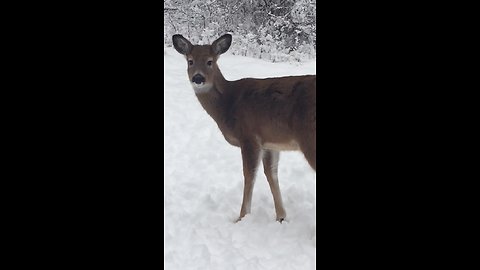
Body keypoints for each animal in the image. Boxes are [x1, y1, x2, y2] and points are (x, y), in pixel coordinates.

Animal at [172, 33, 316, 223]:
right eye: (190, 61)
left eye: (210, 61)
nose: (198, 78)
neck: (227, 103)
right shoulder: (269, 142)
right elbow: (271, 174)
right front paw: (281, 217)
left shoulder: (248, 136)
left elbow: (249, 175)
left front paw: (241, 217)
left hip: (309, 138)